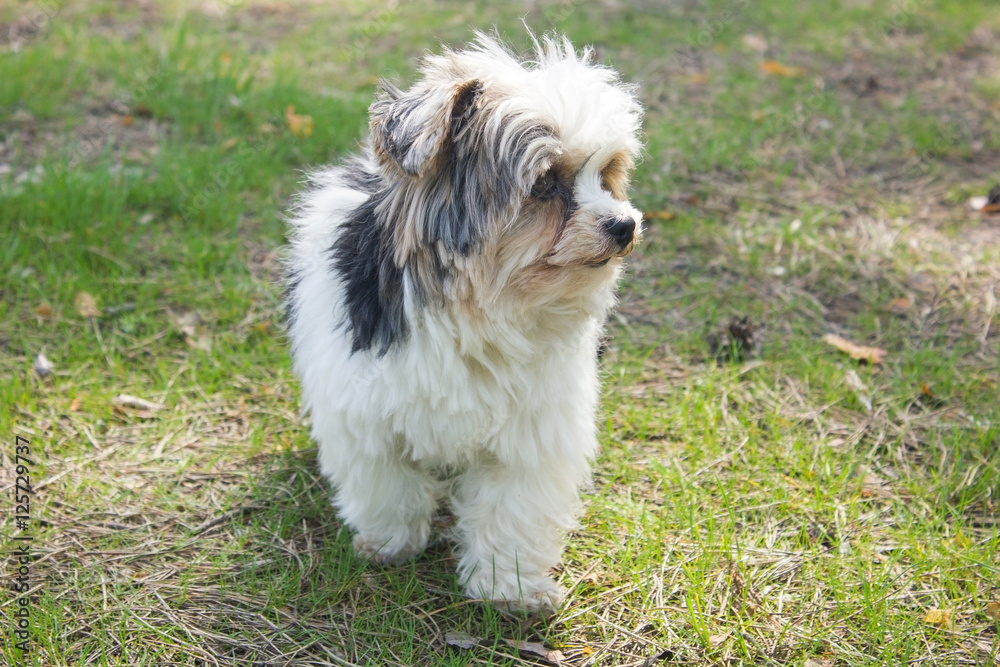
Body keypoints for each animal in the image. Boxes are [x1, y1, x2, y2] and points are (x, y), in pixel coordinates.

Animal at [284, 34, 640, 612]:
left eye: (606, 174)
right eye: (545, 183)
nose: (624, 224)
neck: (478, 304)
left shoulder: (531, 429)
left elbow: (510, 506)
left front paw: (507, 585)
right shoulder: (364, 413)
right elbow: (388, 485)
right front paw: (390, 542)